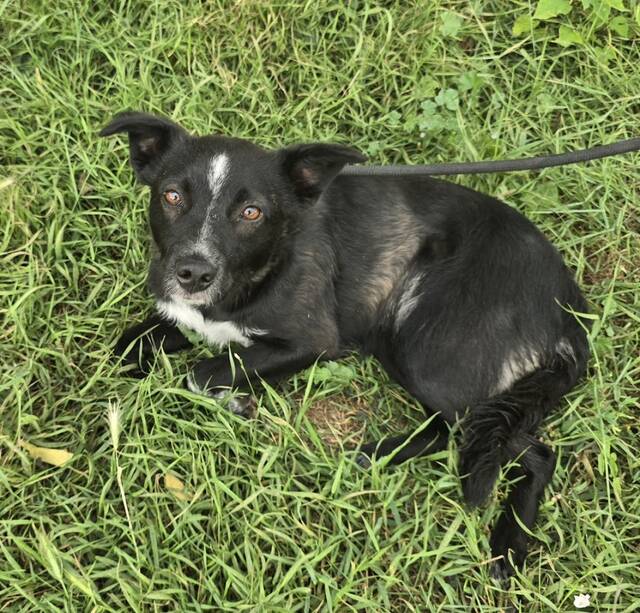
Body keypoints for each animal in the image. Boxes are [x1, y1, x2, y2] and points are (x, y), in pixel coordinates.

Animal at [101, 112, 590, 578]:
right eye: (172, 197)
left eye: (252, 213)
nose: (193, 274)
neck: (263, 266)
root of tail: (568, 305)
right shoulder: (181, 316)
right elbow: (127, 349)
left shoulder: (313, 342)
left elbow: (200, 374)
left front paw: (232, 400)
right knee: (443, 432)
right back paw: (369, 458)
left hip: (430, 348)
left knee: (535, 452)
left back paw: (509, 544)